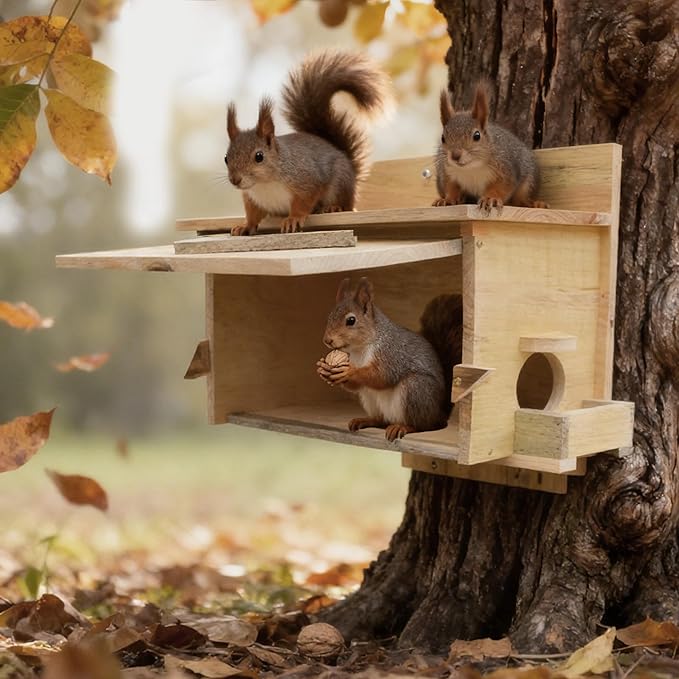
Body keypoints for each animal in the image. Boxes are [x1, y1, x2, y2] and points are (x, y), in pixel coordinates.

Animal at [224, 50, 390, 236]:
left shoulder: (306, 181)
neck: (264, 184)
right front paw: (245, 226)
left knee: (344, 204)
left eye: (259, 156)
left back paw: (332, 207)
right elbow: (253, 214)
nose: (235, 180)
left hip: (340, 184)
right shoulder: (252, 198)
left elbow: (303, 203)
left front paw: (293, 219)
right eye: (226, 158)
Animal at [317, 278, 463, 442]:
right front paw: (322, 368)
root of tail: (439, 414)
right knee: (381, 420)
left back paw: (403, 427)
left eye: (351, 320)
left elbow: (382, 375)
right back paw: (365, 420)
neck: (359, 349)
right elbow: (355, 386)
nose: (327, 340)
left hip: (416, 390)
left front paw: (349, 371)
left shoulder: (391, 354)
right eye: (329, 317)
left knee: (423, 426)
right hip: (370, 398)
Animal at [434, 82, 547, 215]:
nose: (455, 155)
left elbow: (501, 187)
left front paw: (490, 198)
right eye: (443, 138)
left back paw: (535, 204)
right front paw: (448, 199)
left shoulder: (506, 171)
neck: (470, 168)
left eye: (477, 136)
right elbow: (451, 188)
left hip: (528, 182)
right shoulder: (447, 173)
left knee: (521, 201)